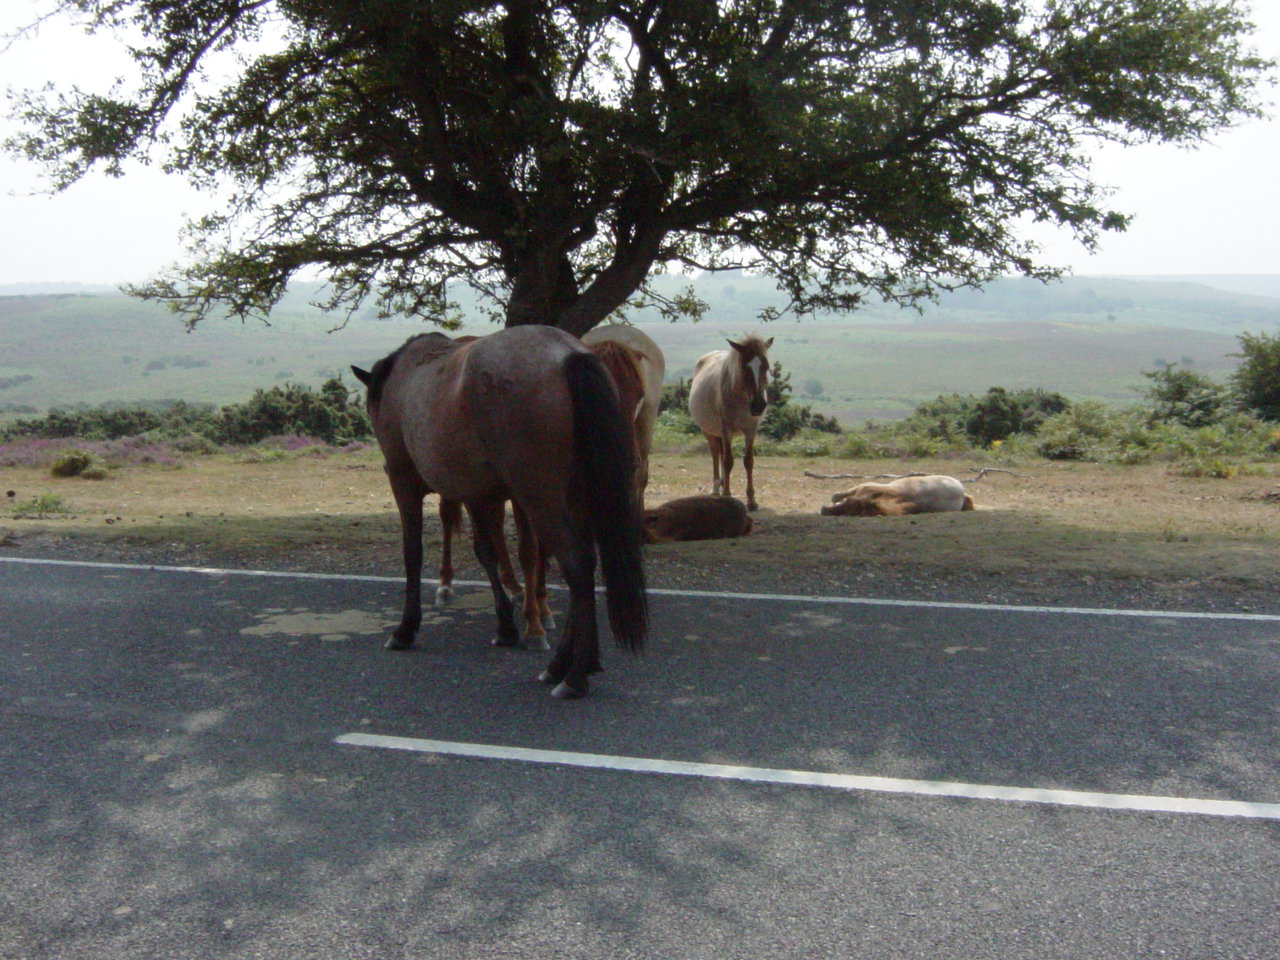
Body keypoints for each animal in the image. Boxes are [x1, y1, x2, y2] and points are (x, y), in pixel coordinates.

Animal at [350, 327, 645, 701]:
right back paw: (568, 662)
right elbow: (486, 552)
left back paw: (574, 675)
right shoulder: (477, 496)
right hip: (573, 499)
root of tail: (567, 354)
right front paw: (506, 625)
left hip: (540, 500)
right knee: (584, 562)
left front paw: (406, 628)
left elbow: (413, 554)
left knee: (576, 563)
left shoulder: (404, 483)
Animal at [686, 335, 773, 512]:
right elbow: (727, 461)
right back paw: (716, 489)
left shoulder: (751, 430)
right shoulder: (726, 429)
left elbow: (748, 461)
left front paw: (752, 501)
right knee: (715, 454)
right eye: (744, 367)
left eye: (766, 366)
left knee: (720, 454)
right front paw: (727, 495)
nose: (758, 405)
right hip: (709, 431)